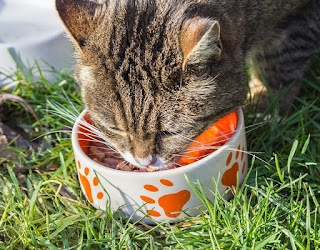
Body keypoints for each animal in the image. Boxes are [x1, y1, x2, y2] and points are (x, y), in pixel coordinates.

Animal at [55, 0, 320, 170]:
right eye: (116, 129)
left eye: (170, 132)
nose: (143, 162)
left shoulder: (300, 17)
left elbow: (281, 65)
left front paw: (267, 106)